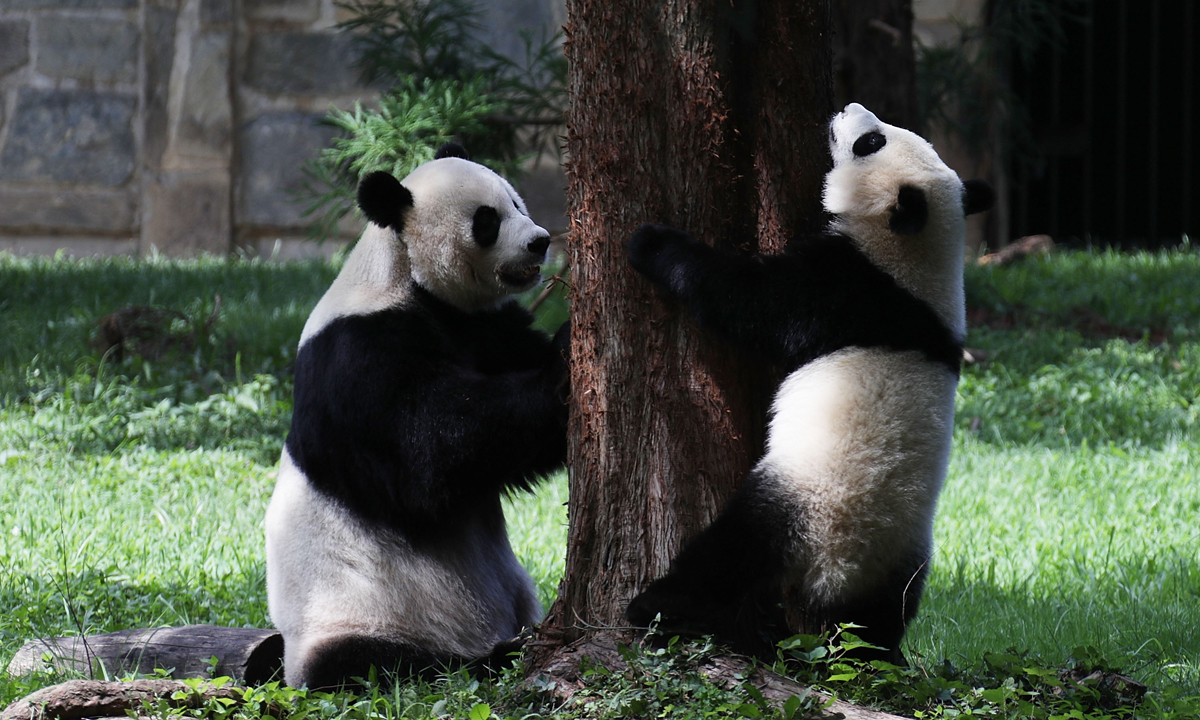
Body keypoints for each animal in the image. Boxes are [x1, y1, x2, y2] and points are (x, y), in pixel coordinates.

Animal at [265, 143, 570, 689]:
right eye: (487, 221)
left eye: (517, 201)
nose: (539, 242)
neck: (401, 274)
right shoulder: (360, 355)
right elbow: (431, 453)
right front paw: (567, 360)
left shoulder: (485, 327)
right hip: (361, 617)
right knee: (376, 664)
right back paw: (492, 656)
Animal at [624, 103, 993, 665]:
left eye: (870, 142)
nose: (846, 109)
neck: (917, 263)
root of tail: (837, 571)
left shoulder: (843, 289)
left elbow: (746, 300)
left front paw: (651, 242)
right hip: (902, 561)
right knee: (885, 617)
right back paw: (877, 655)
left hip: (800, 498)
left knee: (732, 551)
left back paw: (658, 605)